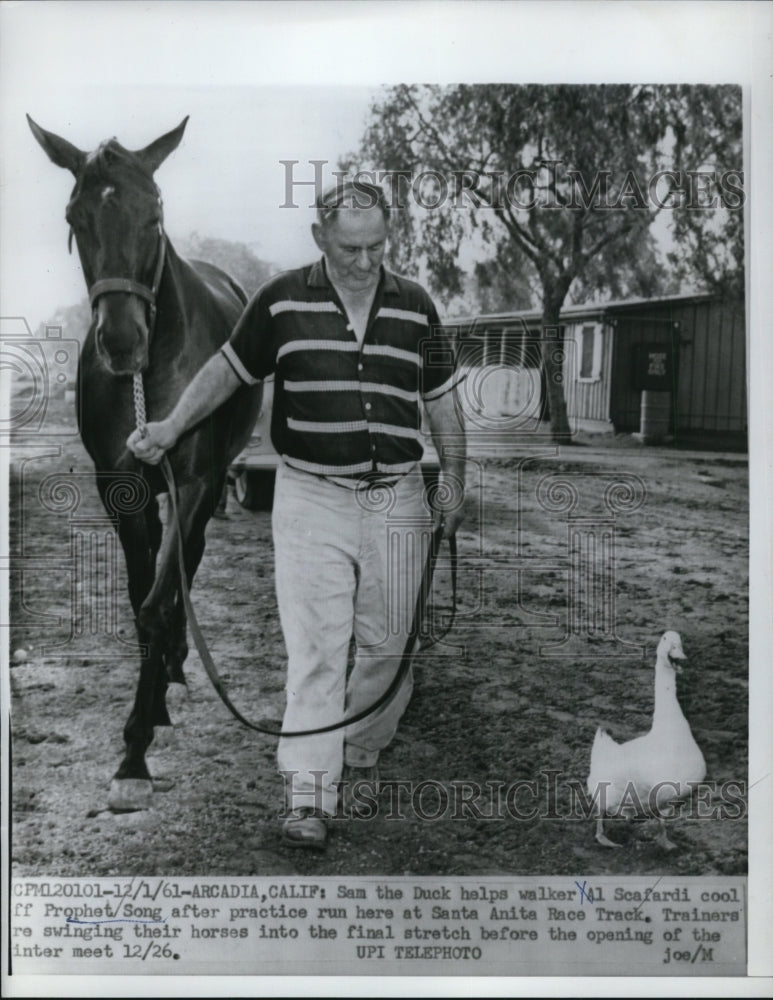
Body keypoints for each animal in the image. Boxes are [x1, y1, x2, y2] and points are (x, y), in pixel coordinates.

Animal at [29, 113, 262, 808]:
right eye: (75, 216)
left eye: (154, 215)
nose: (121, 342)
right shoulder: (121, 487)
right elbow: (139, 597)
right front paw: (148, 713)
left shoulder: (194, 482)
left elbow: (160, 601)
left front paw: (134, 751)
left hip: (207, 490)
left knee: (190, 560)